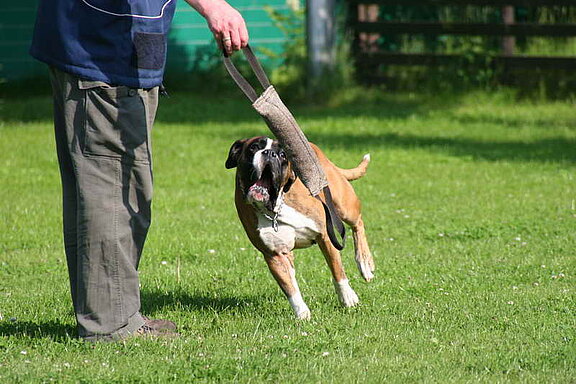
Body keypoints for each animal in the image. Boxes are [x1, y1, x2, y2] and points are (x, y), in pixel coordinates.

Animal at [225, 136, 374, 320]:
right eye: (254, 147)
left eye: (283, 155)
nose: (270, 153)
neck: (275, 207)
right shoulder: (274, 255)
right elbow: (290, 287)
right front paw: (302, 313)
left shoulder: (325, 235)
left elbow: (337, 269)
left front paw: (347, 297)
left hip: (344, 205)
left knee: (357, 224)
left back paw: (364, 262)